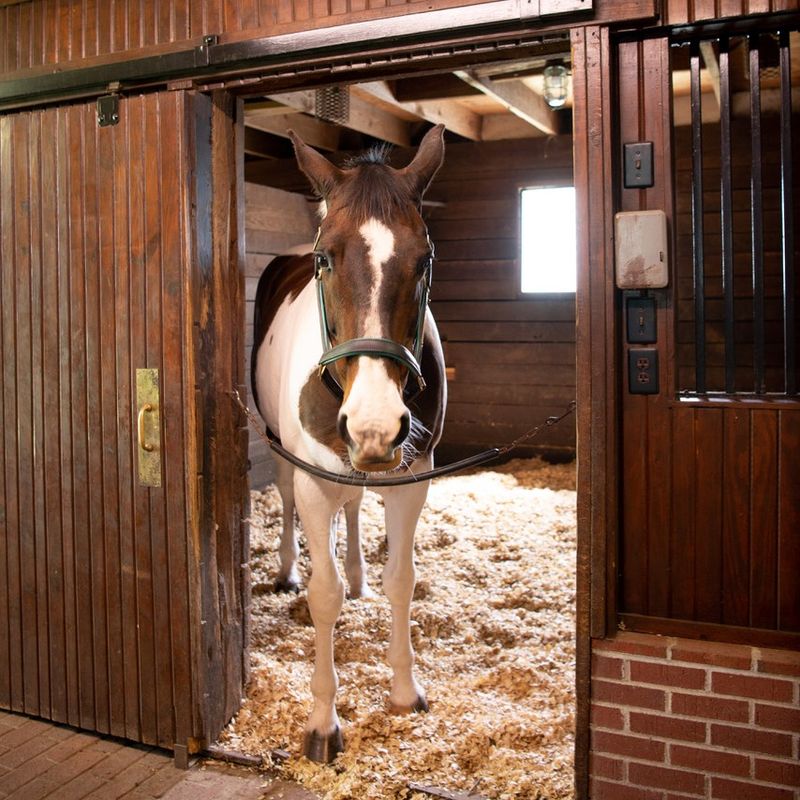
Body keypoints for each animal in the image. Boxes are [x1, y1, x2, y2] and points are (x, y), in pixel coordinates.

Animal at [250, 124, 448, 763]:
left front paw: (405, 691)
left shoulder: (412, 480)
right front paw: (322, 720)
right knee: (290, 504)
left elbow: (401, 578)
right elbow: (323, 593)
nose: (374, 424)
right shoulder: (316, 485)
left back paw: (358, 570)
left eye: (425, 259)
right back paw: (288, 568)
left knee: (357, 507)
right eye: (325, 258)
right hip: (284, 455)